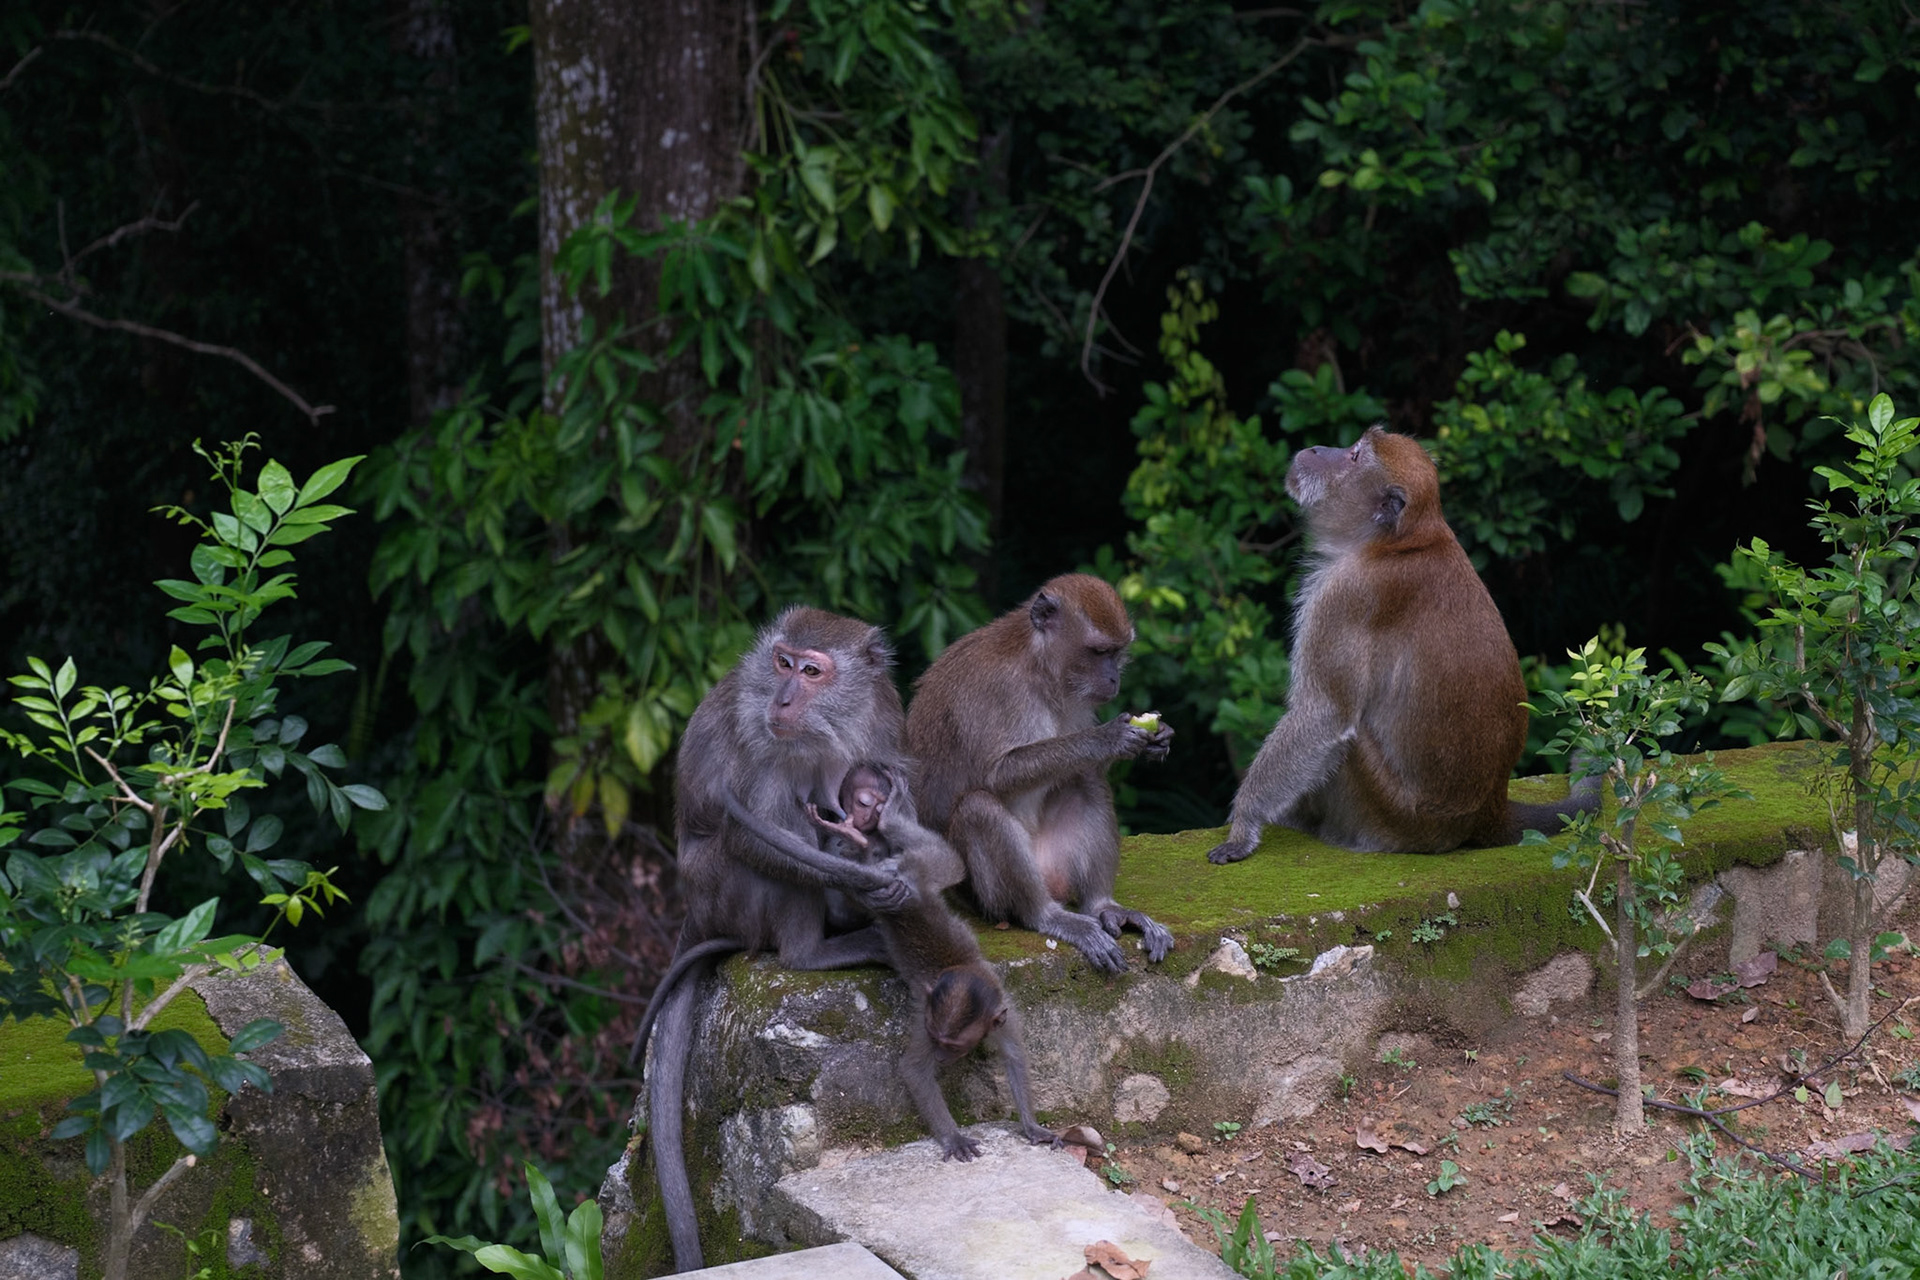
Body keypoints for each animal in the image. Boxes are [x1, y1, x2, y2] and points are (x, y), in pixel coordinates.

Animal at [646, 606, 915, 1274]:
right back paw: (815, 949)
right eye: (783, 662)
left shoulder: (883, 715)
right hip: (726, 892)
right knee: (773, 837)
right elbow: (754, 832)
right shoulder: (761, 737)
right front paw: (870, 882)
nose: (784, 698)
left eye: (812, 671)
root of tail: (697, 910)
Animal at [723, 764, 1056, 1161]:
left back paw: (873, 833)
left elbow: (1015, 1058)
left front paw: (1032, 1126)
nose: (942, 1058)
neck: (960, 971)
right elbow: (914, 1071)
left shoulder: (1003, 1014)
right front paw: (953, 1136)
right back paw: (861, 841)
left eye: (953, 1045)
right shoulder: (927, 1018)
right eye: (938, 1040)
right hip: (887, 886)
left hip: (927, 866)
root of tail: (907, 888)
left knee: (948, 862)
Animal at [904, 573, 1176, 974]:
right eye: (1098, 652)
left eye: (1117, 653)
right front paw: (1107, 738)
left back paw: (1104, 907)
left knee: (1086, 781)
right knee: (978, 808)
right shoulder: (1001, 690)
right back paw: (1046, 915)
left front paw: (1158, 739)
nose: (1113, 679)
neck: (1039, 666)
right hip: (986, 897)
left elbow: (1087, 768)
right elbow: (996, 775)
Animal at [1204, 426, 1600, 863]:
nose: (1317, 449)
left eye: (1355, 455)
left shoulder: (1343, 598)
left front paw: (1243, 824)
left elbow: (1325, 714)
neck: (1399, 541)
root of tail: (1488, 809)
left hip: (1390, 814)